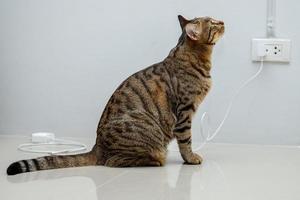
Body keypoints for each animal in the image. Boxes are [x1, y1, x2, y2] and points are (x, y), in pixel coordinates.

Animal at [6, 15, 225, 175]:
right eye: (213, 23)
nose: (222, 21)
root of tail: (96, 147)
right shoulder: (185, 111)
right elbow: (186, 141)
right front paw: (191, 158)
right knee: (115, 161)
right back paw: (156, 158)